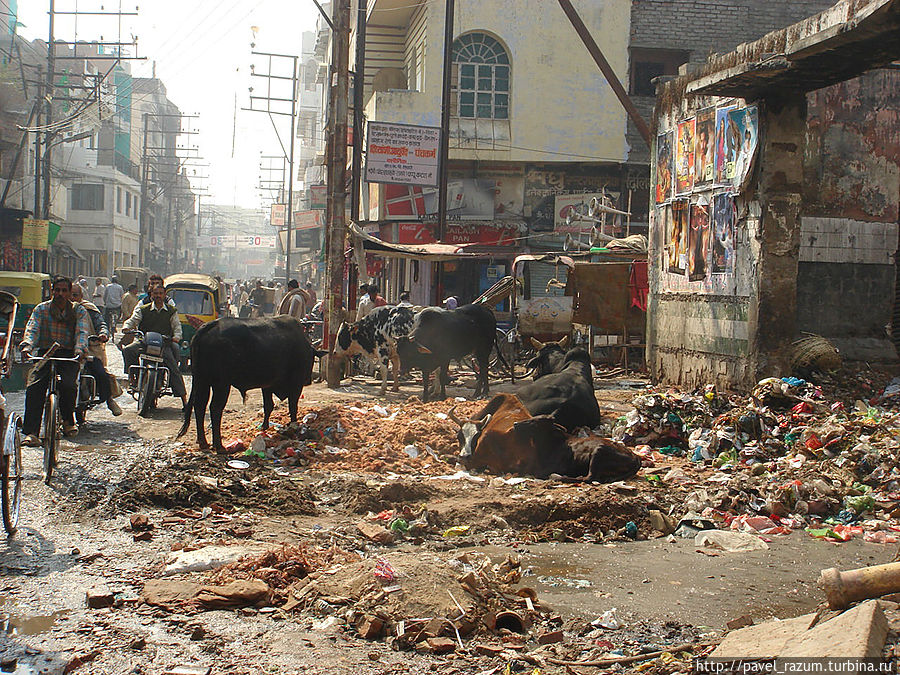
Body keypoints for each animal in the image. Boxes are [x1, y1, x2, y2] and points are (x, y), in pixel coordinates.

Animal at [176, 316, 324, 452]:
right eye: (312, 358)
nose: (308, 380)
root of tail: (211, 325)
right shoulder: (296, 383)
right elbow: (293, 406)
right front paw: (294, 425)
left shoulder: (267, 385)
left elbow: (268, 406)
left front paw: (264, 427)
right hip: (221, 384)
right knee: (215, 408)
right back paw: (219, 446)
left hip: (202, 381)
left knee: (200, 406)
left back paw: (203, 443)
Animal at [450, 394, 640, 484]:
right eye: (459, 436)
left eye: (476, 436)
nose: (464, 456)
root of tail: (636, 458)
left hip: (598, 453)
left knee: (589, 477)